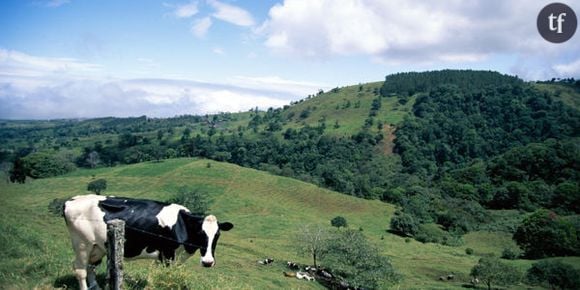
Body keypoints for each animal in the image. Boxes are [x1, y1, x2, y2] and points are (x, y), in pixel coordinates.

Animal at [62, 195, 233, 290]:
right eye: (200, 233)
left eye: (217, 234)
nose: (208, 262)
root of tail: (71, 200)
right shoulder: (168, 254)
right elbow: (168, 275)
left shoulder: (165, 256)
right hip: (82, 244)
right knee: (80, 270)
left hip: (97, 247)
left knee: (91, 267)